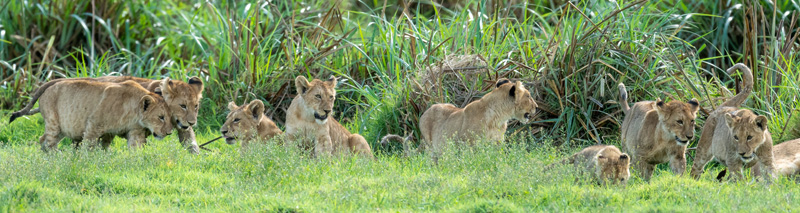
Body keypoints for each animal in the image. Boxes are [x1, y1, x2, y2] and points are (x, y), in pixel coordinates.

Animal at [10, 75, 203, 152]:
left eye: (196, 106)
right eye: (182, 106)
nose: (192, 122)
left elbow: (191, 143)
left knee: (45, 140)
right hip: (57, 122)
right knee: (50, 141)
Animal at [382, 79, 536, 161]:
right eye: (528, 96)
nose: (537, 106)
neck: (498, 117)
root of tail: (425, 111)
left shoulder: (497, 143)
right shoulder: (470, 144)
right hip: (431, 145)